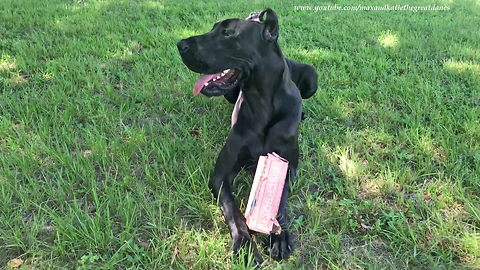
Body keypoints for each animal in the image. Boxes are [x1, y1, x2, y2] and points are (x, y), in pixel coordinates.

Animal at [177, 8, 318, 266]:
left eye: (227, 33)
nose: (180, 44)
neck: (261, 102)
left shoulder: (287, 166)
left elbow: (279, 199)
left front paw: (279, 235)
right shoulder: (221, 175)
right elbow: (233, 211)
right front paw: (244, 243)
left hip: (312, 77)